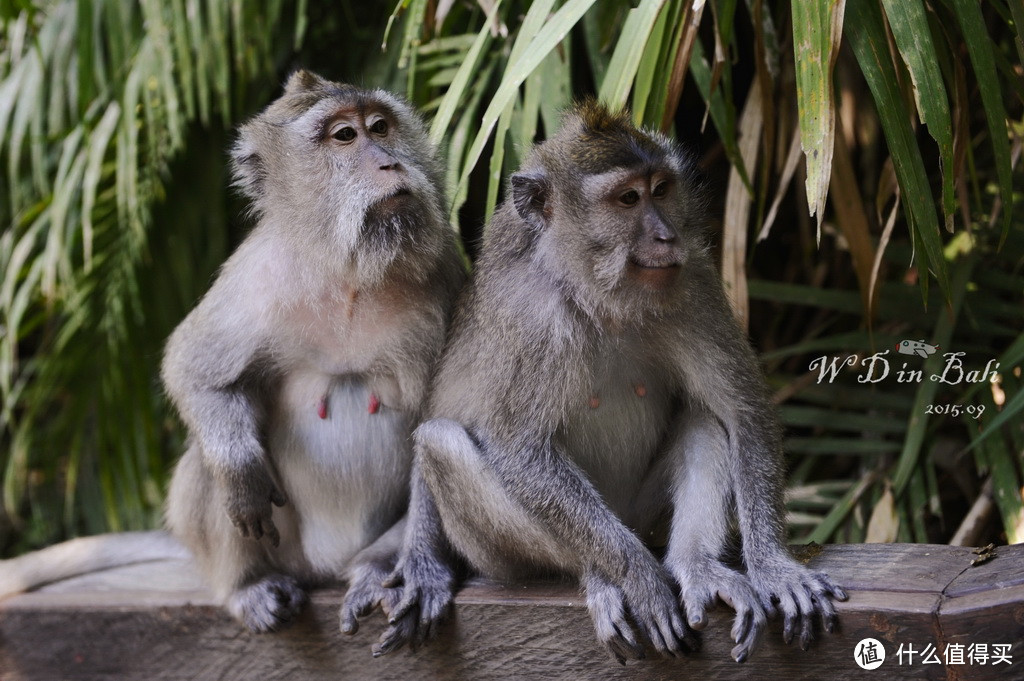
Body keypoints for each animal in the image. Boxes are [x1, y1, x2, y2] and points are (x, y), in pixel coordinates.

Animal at [0, 69, 464, 630]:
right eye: (345, 136)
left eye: (380, 127)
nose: (388, 162)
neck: (350, 271)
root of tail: (326, 565)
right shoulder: (254, 276)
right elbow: (193, 368)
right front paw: (240, 470)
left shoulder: (444, 280)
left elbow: (437, 432)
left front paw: (421, 567)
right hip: (279, 547)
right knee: (207, 464)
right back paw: (248, 584)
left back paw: (374, 570)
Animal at [362, 103, 847, 659]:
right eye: (627, 199)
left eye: (661, 189)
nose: (666, 237)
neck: (598, 296)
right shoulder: (533, 319)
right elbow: (519, 449)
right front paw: (641, 579)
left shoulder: (694, 280)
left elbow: (742, 412)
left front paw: (772, 566)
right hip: (505, 553)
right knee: (442, 442)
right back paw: (601, 576)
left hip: (637, 511)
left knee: (704, 420)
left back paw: (696, 566)